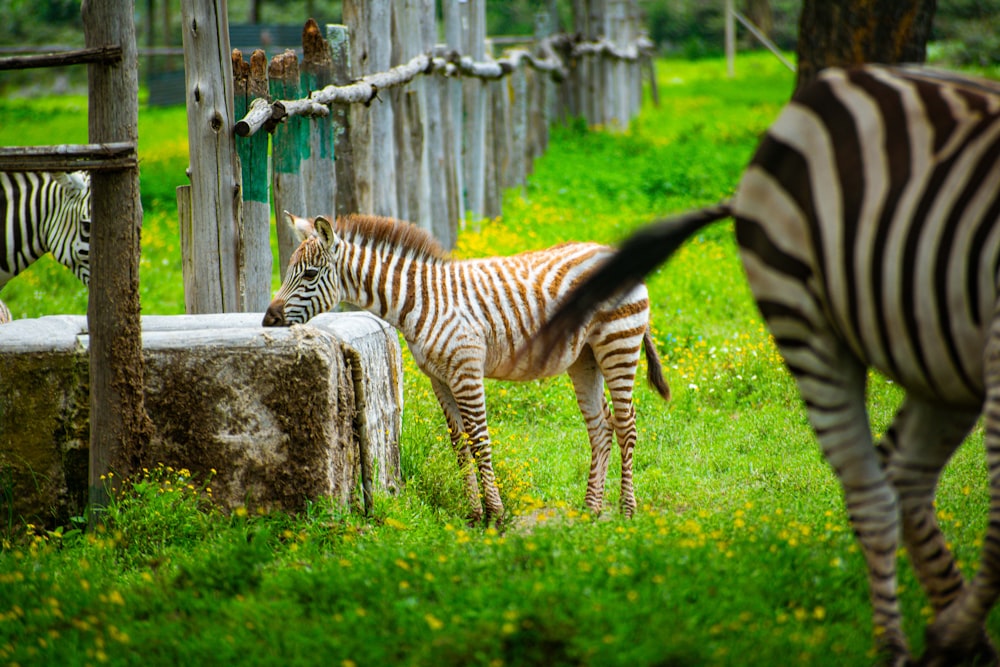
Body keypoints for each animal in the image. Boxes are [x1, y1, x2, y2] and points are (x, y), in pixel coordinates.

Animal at [264, 211, 672, 524]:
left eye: (310, 275)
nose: (268, 320)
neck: (421, 302)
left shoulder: (466, 369)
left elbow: (480, 441)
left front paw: (496, 514)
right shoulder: (439, 378)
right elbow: (459, 445)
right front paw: (474, 514)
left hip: (618, 343)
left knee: (626, 424)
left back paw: (627, 511)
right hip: (585, 356)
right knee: (600, 427)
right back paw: (590, 511)